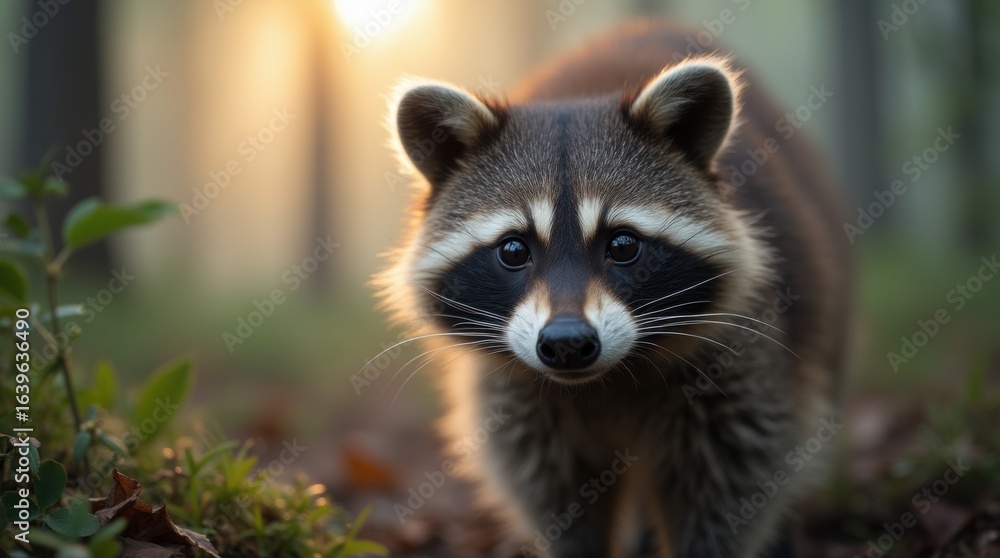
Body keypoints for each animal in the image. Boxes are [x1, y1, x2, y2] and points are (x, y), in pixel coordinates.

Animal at [377, 22, 851, 558]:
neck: (605, 381)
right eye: (514, 251)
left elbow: (734, 480)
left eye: (623, 245)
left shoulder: (739, 363)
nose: (566, 344)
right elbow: (555, 496)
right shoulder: (517, 398)